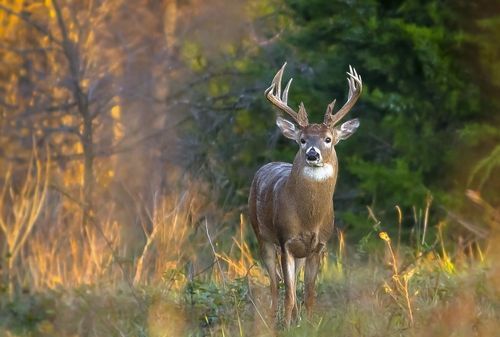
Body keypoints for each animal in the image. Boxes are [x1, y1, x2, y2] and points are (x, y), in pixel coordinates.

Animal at [249, 62, 360, 326]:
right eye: (301, 140)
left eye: (328, 139)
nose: (312, 153)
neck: (309, 217)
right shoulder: (286, 241)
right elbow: (289, 294)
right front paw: (288, 325)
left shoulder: (318, 246)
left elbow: (309, 294)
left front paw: (308, 324)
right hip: (262, 235)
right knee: (274, 283)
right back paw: (272, 320)